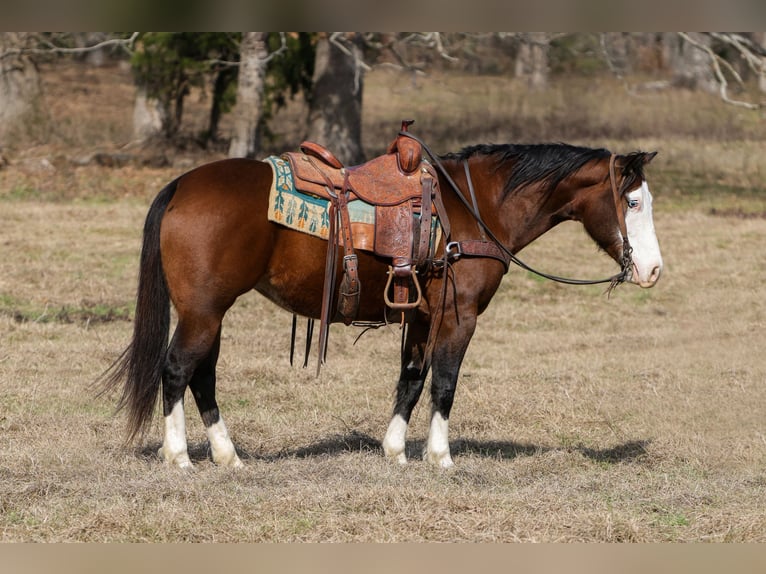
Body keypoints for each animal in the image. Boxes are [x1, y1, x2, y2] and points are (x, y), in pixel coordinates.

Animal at [101, 137, 663, 470]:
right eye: (633, 201)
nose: (653, 270)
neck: (472, 208)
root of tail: (182, 185)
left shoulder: (422, 316)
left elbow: (411, 379)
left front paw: (394, 451)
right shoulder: (458, 316)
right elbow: (444, 383)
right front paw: (440, 457)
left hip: (210, 313)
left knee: (202, 375)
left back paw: (228, 456)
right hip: (203, 311)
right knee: (177, 370)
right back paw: (180, 457)